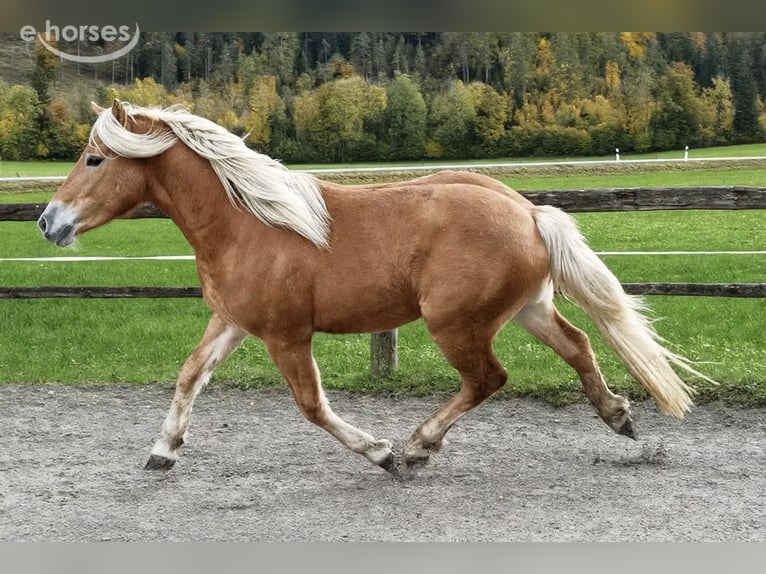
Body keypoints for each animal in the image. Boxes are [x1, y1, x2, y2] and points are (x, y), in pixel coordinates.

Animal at [37, 99, 713, 475]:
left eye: (95, 159)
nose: (48, 221)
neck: (248, 222)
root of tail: (527, 211)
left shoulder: (286, 336)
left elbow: (312, 406)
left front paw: (383, 454)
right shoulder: (232, 321)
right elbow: (188, 375)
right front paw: (163, 451)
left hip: (455, 323)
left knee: (488, 380)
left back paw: (418, 447)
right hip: (527, 309)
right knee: (577, 345)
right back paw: (619, 418)